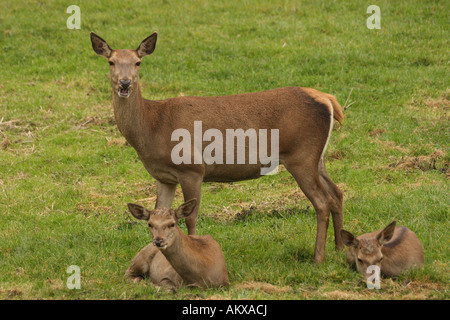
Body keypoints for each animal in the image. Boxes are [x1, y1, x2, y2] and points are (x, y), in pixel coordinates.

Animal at [90, 31, 344, 262]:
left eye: (138, 62)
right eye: (111, 61)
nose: (125, 83)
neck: (152, 126)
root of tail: (328, 100)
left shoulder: (192, 168)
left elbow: (190, 217)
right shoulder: (164, 177)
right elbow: (158, 211)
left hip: (301, 155)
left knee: (323, 201)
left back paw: (318, 257)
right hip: (316, 158)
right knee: (337, 193)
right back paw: (340, 248)